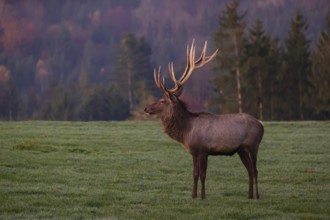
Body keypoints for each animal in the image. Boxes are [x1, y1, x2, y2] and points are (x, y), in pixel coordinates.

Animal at [144, 40, 262, 200]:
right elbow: (195, 174)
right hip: (241, 150)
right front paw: (193, 195)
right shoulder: (194, 152)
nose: (146, 108)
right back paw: (249, 195)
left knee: (255, 170)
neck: (187, 131)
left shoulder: (204, 150)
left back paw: (257, 195)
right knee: (249, 170)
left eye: (162, 100)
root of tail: (262, 126)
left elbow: (203, 175)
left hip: (253, 145)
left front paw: (203, 196)